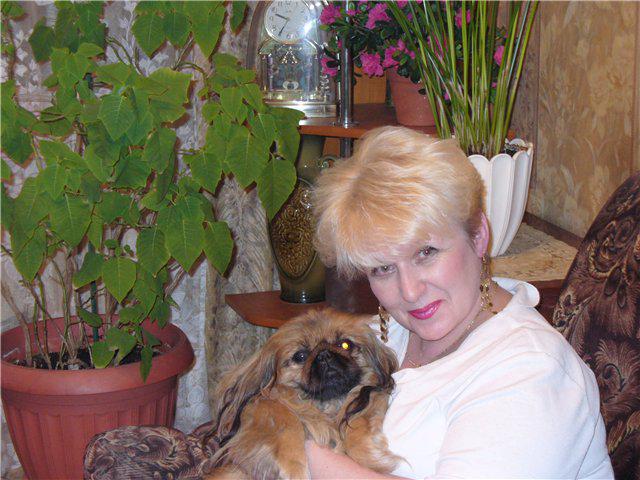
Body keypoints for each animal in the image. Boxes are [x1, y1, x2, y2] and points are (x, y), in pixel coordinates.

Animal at [203, 308, 400, 479]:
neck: (326, 405)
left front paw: (371, 457)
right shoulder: (262, 404)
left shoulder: (368, 395)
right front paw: (294, 468)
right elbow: (284, 419)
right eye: (301, 356)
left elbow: (357, 420)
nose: (324, 355)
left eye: (345, 344)